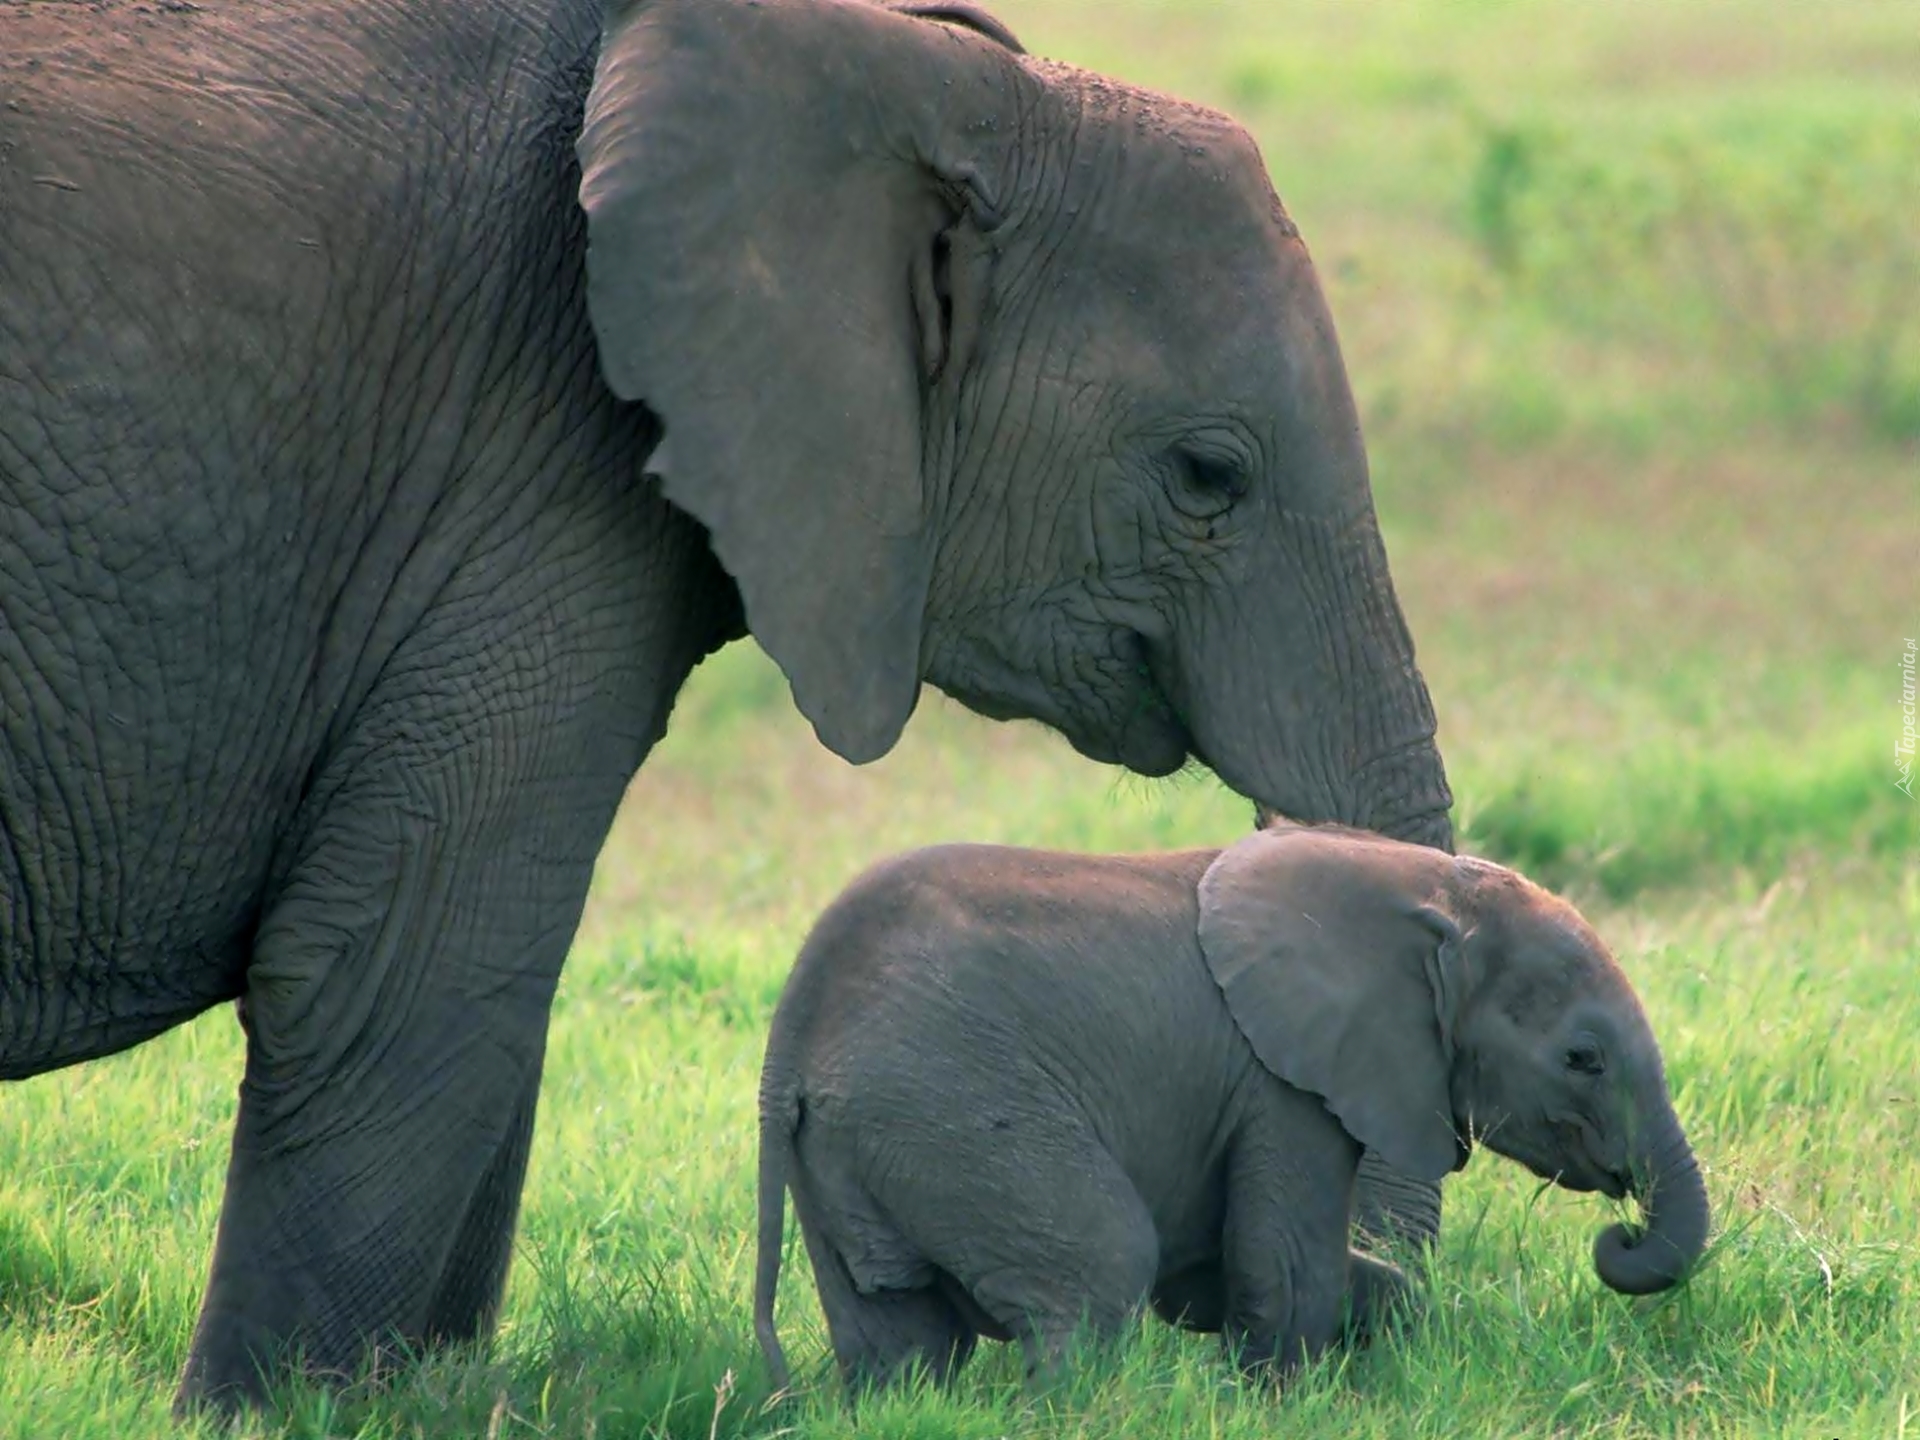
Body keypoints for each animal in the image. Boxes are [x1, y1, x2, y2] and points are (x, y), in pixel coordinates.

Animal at [0, 0, 1443, 1413]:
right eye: (1208, 476)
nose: (1379, 1318)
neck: (931, 77)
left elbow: (477, 1006)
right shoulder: (527, 466)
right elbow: (404, 971)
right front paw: (276, 1413)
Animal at [752, 829, 1712, 1390]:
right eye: (1582, 1059)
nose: (1622, 1234)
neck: (1426, 891)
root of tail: (791, 1036)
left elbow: (1235, 1275)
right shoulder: (1282, 1080)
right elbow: (1282, 1268)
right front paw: (1280, 1404)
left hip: (853, 1146)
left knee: (897, 1338)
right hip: (949, 1107)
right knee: (1098, 1272)